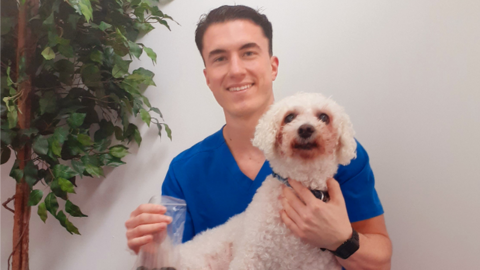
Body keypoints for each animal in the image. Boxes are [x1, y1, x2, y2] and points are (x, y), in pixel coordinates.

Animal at [175, 92, 356, 268]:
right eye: (289, 117)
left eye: (324, 117)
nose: (305, 128)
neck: (302, 179)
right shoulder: (250, 256)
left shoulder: (318, 264)